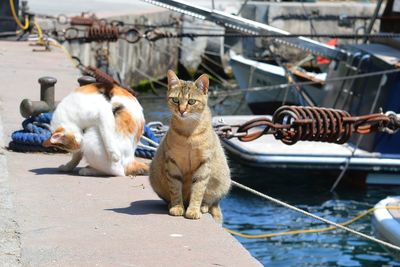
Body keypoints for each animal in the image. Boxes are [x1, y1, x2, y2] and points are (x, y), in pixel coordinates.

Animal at [149, 70, 231, 223]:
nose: (181, 110)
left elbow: (198, 190)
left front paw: (193, 210)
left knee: (211, 202)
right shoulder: (172, 162)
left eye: (191, 101)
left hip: (222, 184)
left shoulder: (204, 164)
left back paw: (203, 207)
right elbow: (175, 188)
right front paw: (177, 207)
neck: (188, 133)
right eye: (175, 100)